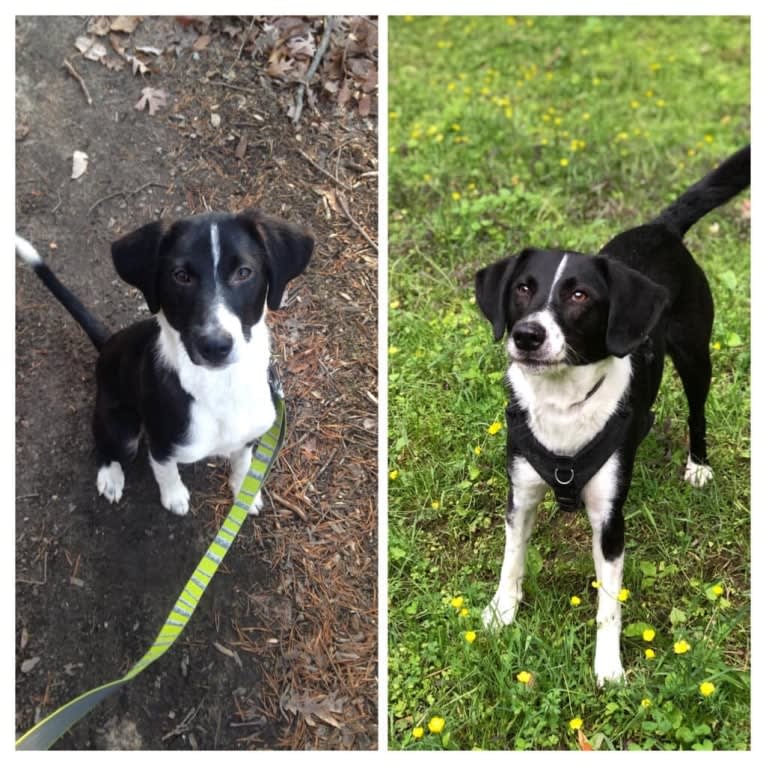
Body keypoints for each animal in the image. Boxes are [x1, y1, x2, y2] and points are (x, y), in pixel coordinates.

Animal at [16, 212, 314, 516]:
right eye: (180, 276)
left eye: (244, 272)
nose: (215, 346)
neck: (219, 385)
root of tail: (108, 343)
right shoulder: (160, 444)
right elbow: (166, 471)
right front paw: (175, 497)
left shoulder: (248, 437)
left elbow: (243, 463)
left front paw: (244, 493)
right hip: (121, 428)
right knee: (104, 445)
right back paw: (110, 476)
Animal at [476, 147, 752, 688]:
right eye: (522, 289)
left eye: (579, 295)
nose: (526, 335)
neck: (562, 401)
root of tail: (660, 227)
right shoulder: (521, 495)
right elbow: (511, 561)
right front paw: (501, 613)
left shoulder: (608, 520)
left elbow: (609, 604)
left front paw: (608, 667)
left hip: (696, 355)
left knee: (698, 411)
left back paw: (698, 464)